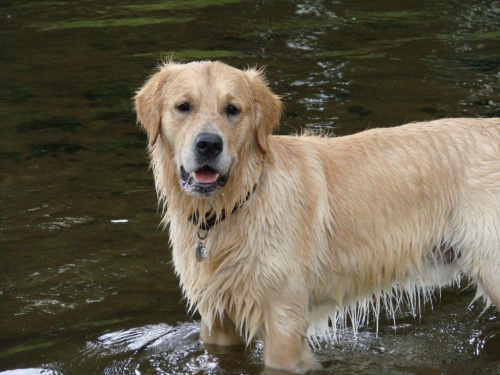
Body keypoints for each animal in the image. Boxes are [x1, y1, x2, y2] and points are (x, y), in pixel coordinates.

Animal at [134, 60, 500, 372]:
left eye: (233, 109)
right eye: (183, 107)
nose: (209, 144)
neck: (237, 204)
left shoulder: (283, 319)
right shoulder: (217, 317)